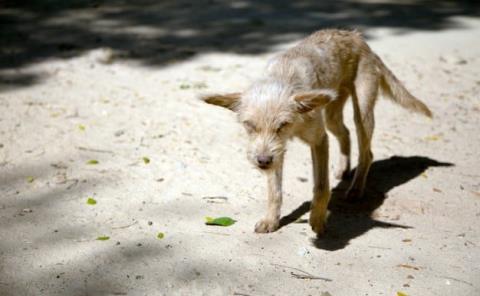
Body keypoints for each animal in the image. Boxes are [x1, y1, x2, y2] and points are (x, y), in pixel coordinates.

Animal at [199, 29, 432, 234]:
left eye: (282, 125)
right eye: (249, 125)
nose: (262, 162)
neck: (283, 78)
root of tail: (357, 36)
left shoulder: (318, 141)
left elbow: (321, 186)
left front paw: (318, 219)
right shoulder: (277, 152)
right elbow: (275, 191)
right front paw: (271, 220)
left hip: (362, 114)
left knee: (367, 152)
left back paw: (356, 188)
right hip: (332, 115)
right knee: (346, 134)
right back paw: (343, 169)